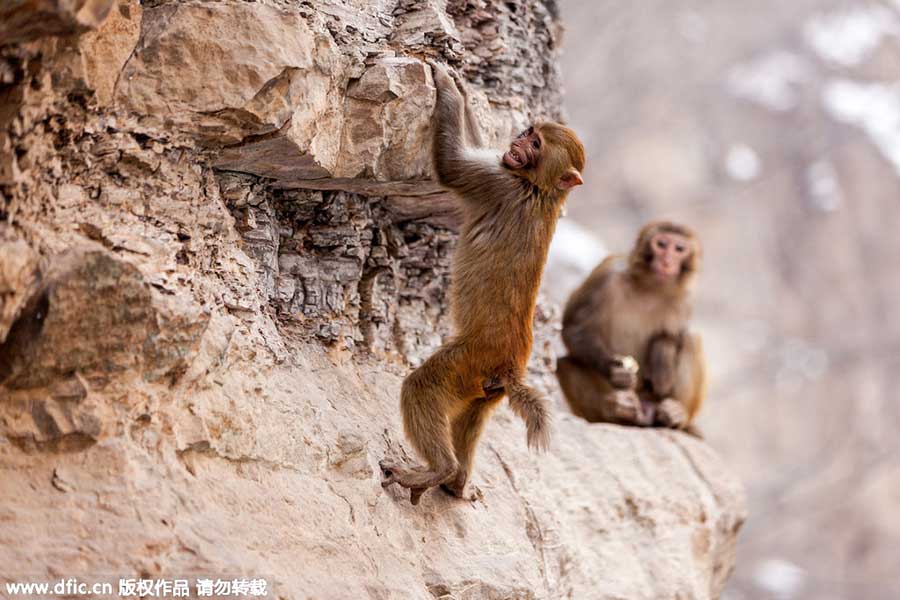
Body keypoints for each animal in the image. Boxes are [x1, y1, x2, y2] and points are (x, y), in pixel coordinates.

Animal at [380, 60, 585, 505]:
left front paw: (446, 88)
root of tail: (509, 368)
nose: (516, 143)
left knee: (422, 386)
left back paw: (439, 469)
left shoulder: (498, 180)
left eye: (536, 143)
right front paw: (461, 89)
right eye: (527, 132)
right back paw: (456, 483)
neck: (541, 189)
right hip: (485, 391)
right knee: (471, 419)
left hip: (467, 361)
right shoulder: (501, 170)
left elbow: (451, 163)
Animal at [556, 221, 706, 430]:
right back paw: (616, 410)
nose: (667, 261)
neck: (650, 287)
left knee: (690, 339)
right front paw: (616, 371)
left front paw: (662, 361)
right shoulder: (606, 274)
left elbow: (674, 335)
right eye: (661, 244)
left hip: (655, 400)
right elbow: (575, 330)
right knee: (566, 364)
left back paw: (676, 414)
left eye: (679, 249)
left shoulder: (685, 299)